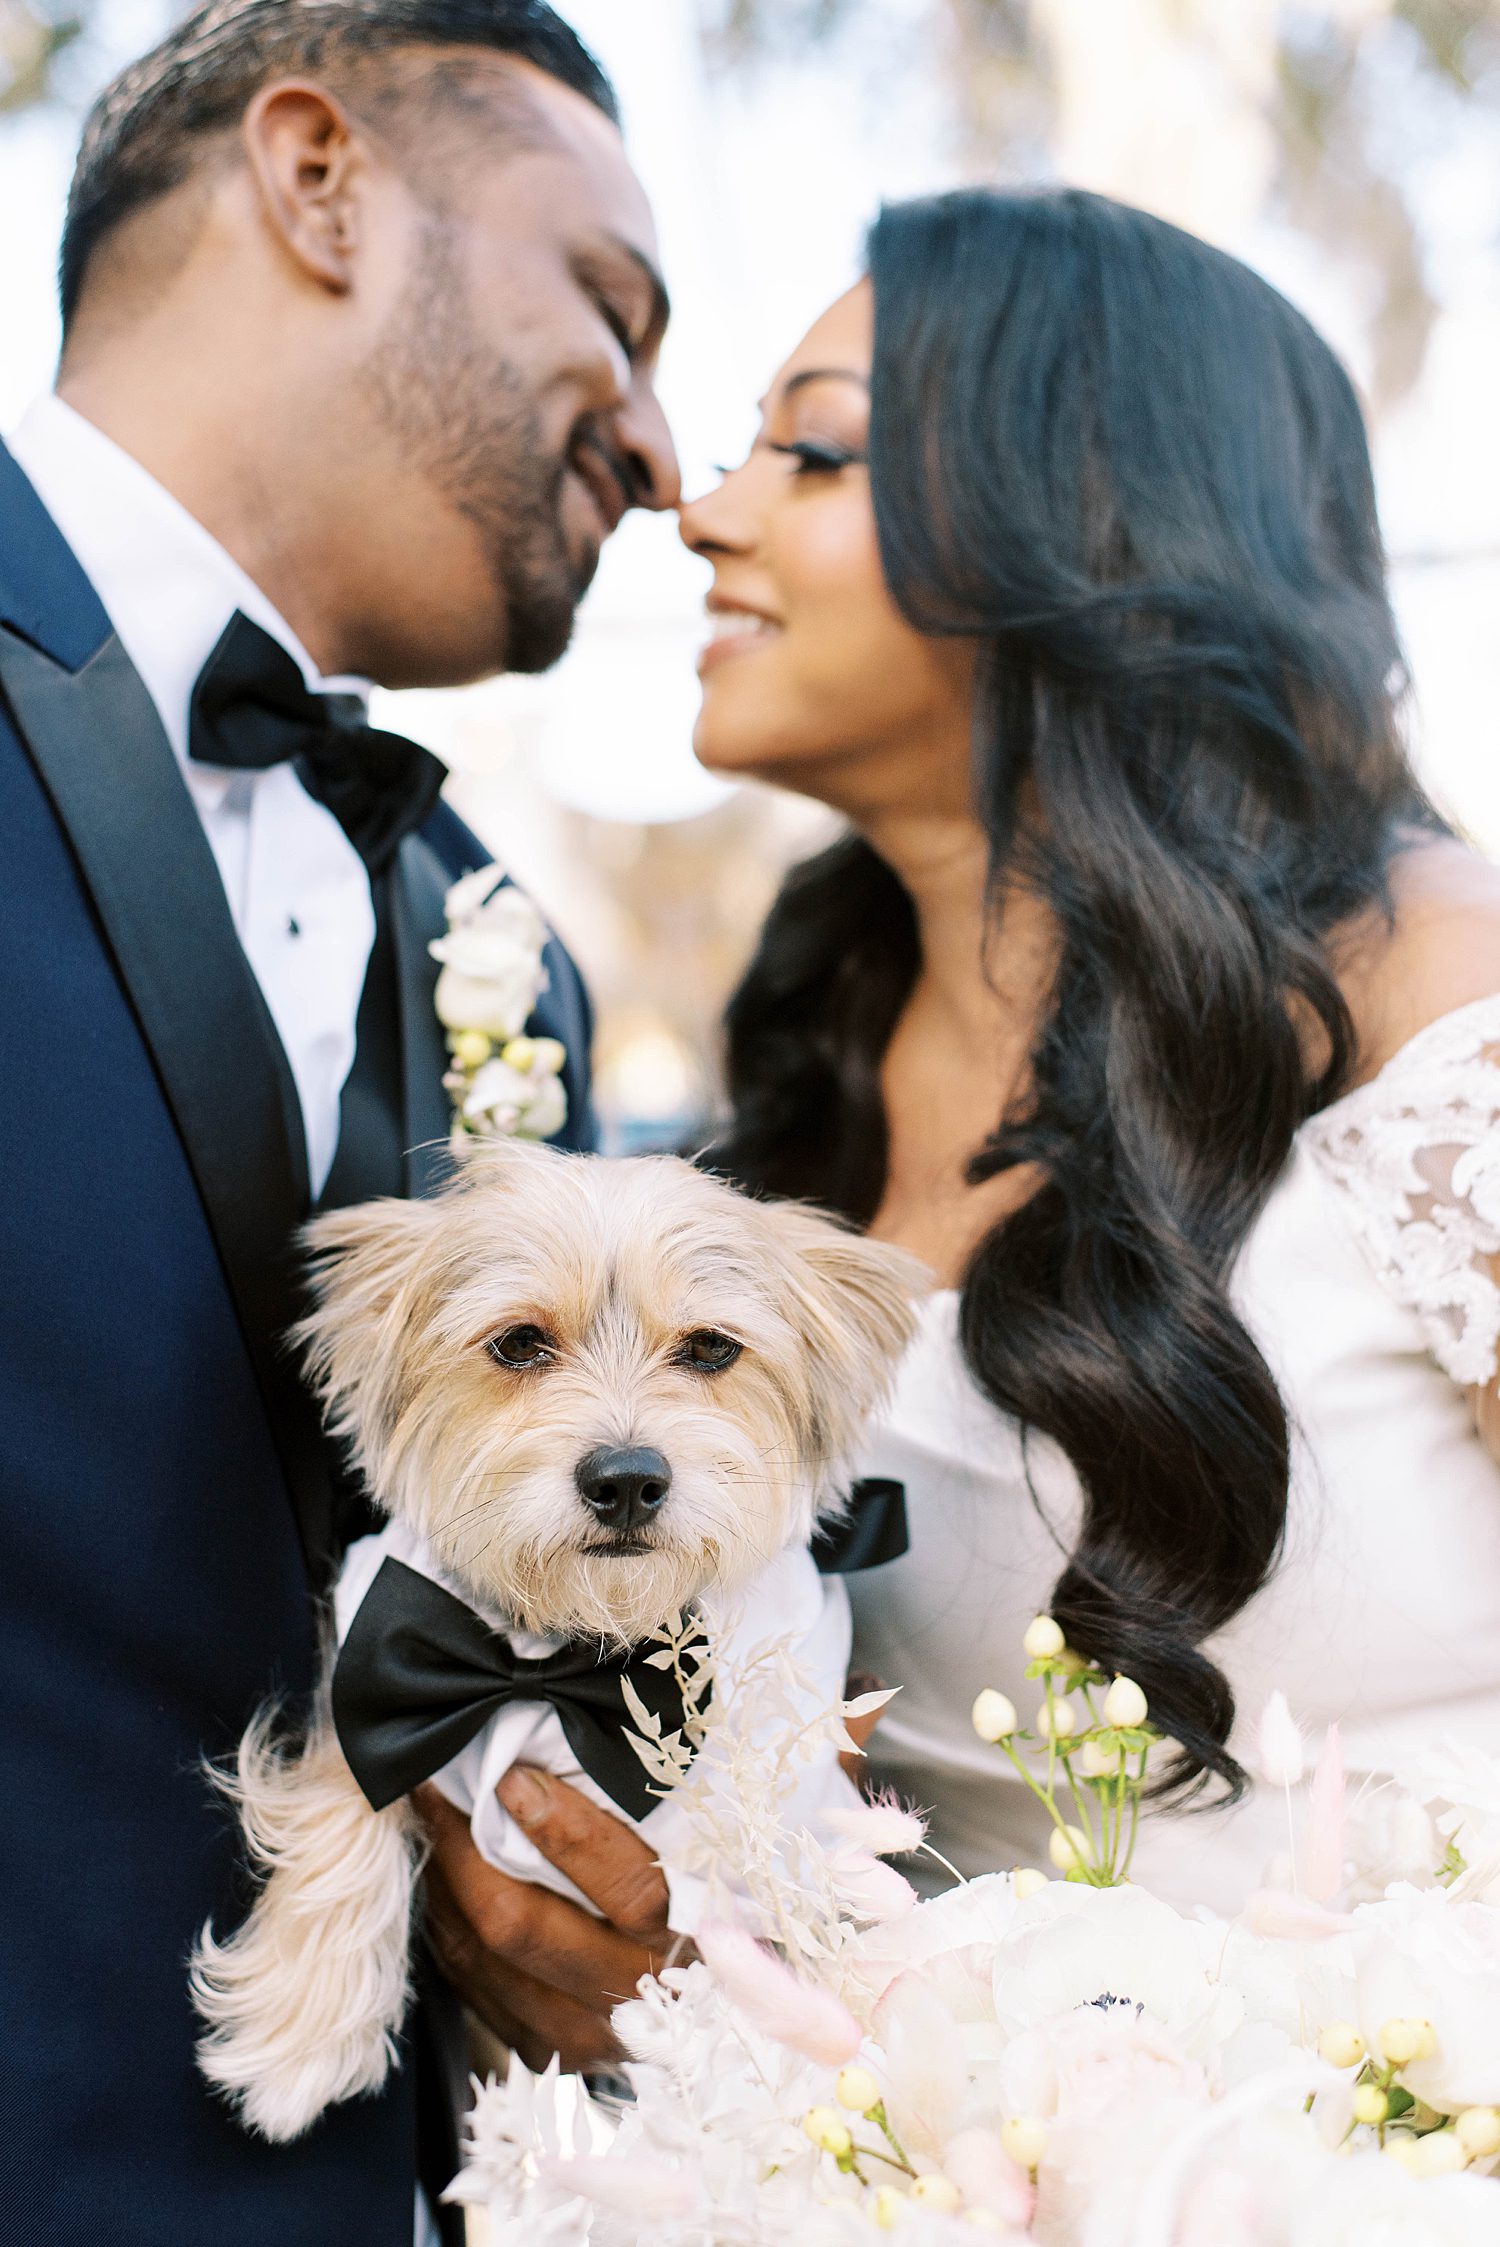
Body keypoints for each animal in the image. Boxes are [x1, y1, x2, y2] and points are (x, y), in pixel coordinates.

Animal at [193, 1141, 920, 2139]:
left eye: (710, 1347)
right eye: (518, 1343)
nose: (626, 1480)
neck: (557, 1660)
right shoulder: (378, 1654)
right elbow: (348, 1773)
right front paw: (300, 2028)